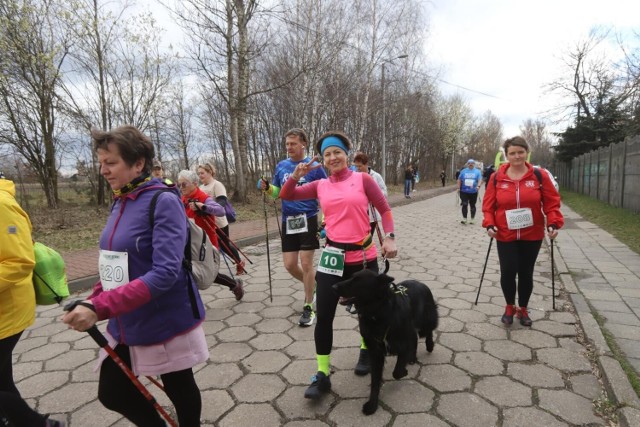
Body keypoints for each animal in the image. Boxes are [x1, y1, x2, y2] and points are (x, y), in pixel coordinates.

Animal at [332, 270, 438, 414]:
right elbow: (375, 380)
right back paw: (412, 358)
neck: (377, 313)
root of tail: (420, 283)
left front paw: (404, 371)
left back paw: (429, 346)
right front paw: (372, 404)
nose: (333, 287)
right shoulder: (376, 352)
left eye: (357, 280)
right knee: (415, 338)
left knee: (428, 331)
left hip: (425, 321)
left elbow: (397, 372)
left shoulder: (402, 342)